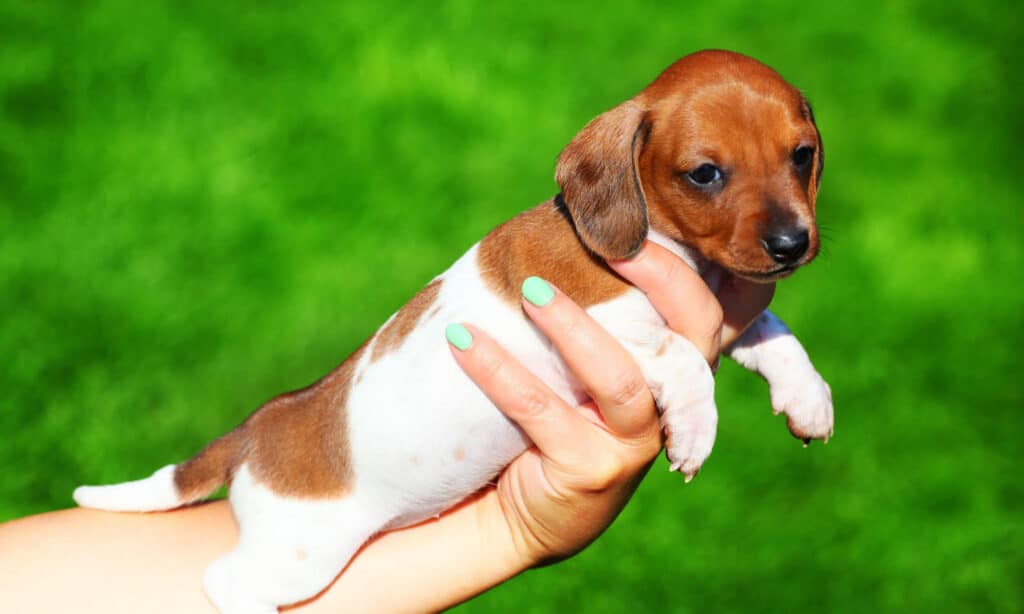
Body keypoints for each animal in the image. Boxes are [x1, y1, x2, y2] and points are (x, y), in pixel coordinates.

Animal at [77, 50, 831, 609]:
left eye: (801, 156)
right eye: (704, 173)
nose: (792, 244)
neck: (657, 242)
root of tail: (256, 431)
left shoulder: (723, 312)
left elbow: (775, 331)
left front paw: (808, 396)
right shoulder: (596, 325)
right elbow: (683, 356)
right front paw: (696, 428)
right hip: (298, 556)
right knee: (223, 583)